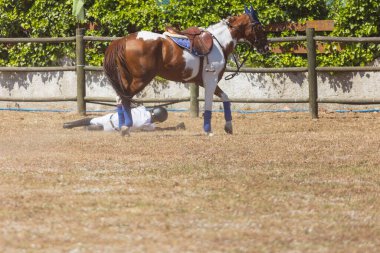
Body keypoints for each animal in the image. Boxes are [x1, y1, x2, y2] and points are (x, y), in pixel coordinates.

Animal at [102, 5, 268, 136]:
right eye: (260, 27)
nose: (265, 47)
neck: (218, 42)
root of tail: (123, 40)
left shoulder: (203, 81)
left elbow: (226, 98)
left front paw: (228, 127)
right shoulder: (211, 80)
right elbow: (208, 105)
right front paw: (208, 130)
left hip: (126, 79)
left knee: (120, 99)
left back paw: (122, 126)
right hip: (140, 79)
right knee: (124, 99)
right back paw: (126, 128)